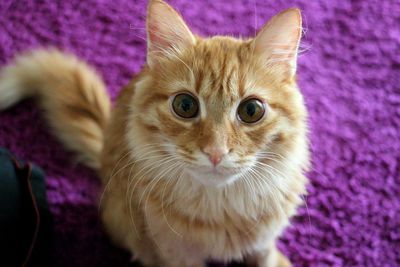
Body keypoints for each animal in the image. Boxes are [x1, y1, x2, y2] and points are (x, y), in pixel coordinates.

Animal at [0, 0, 310, 267]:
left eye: (251, 110)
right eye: (185, 106)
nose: (215, 152)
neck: (220, 210)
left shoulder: (263, 242)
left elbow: (266, 257)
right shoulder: (176, 254)